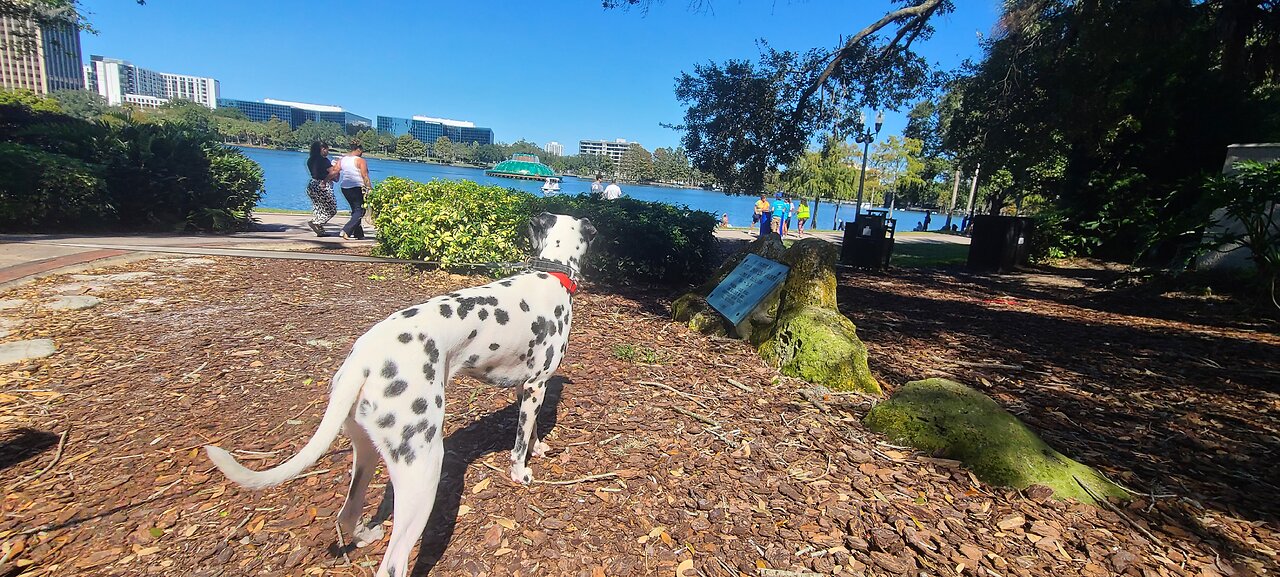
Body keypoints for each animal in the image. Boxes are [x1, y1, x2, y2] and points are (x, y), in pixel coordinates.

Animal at [203, 213, 593, 577]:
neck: (550, 274)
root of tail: (362, 359)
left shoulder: (525, 388)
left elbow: (531, 429)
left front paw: (537, 447)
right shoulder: (536, 384)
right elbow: (518, 444)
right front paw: (521, 472)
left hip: (367, 453)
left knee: (346, 515)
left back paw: (364, 534)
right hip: (423, 469)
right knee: (392, 562)